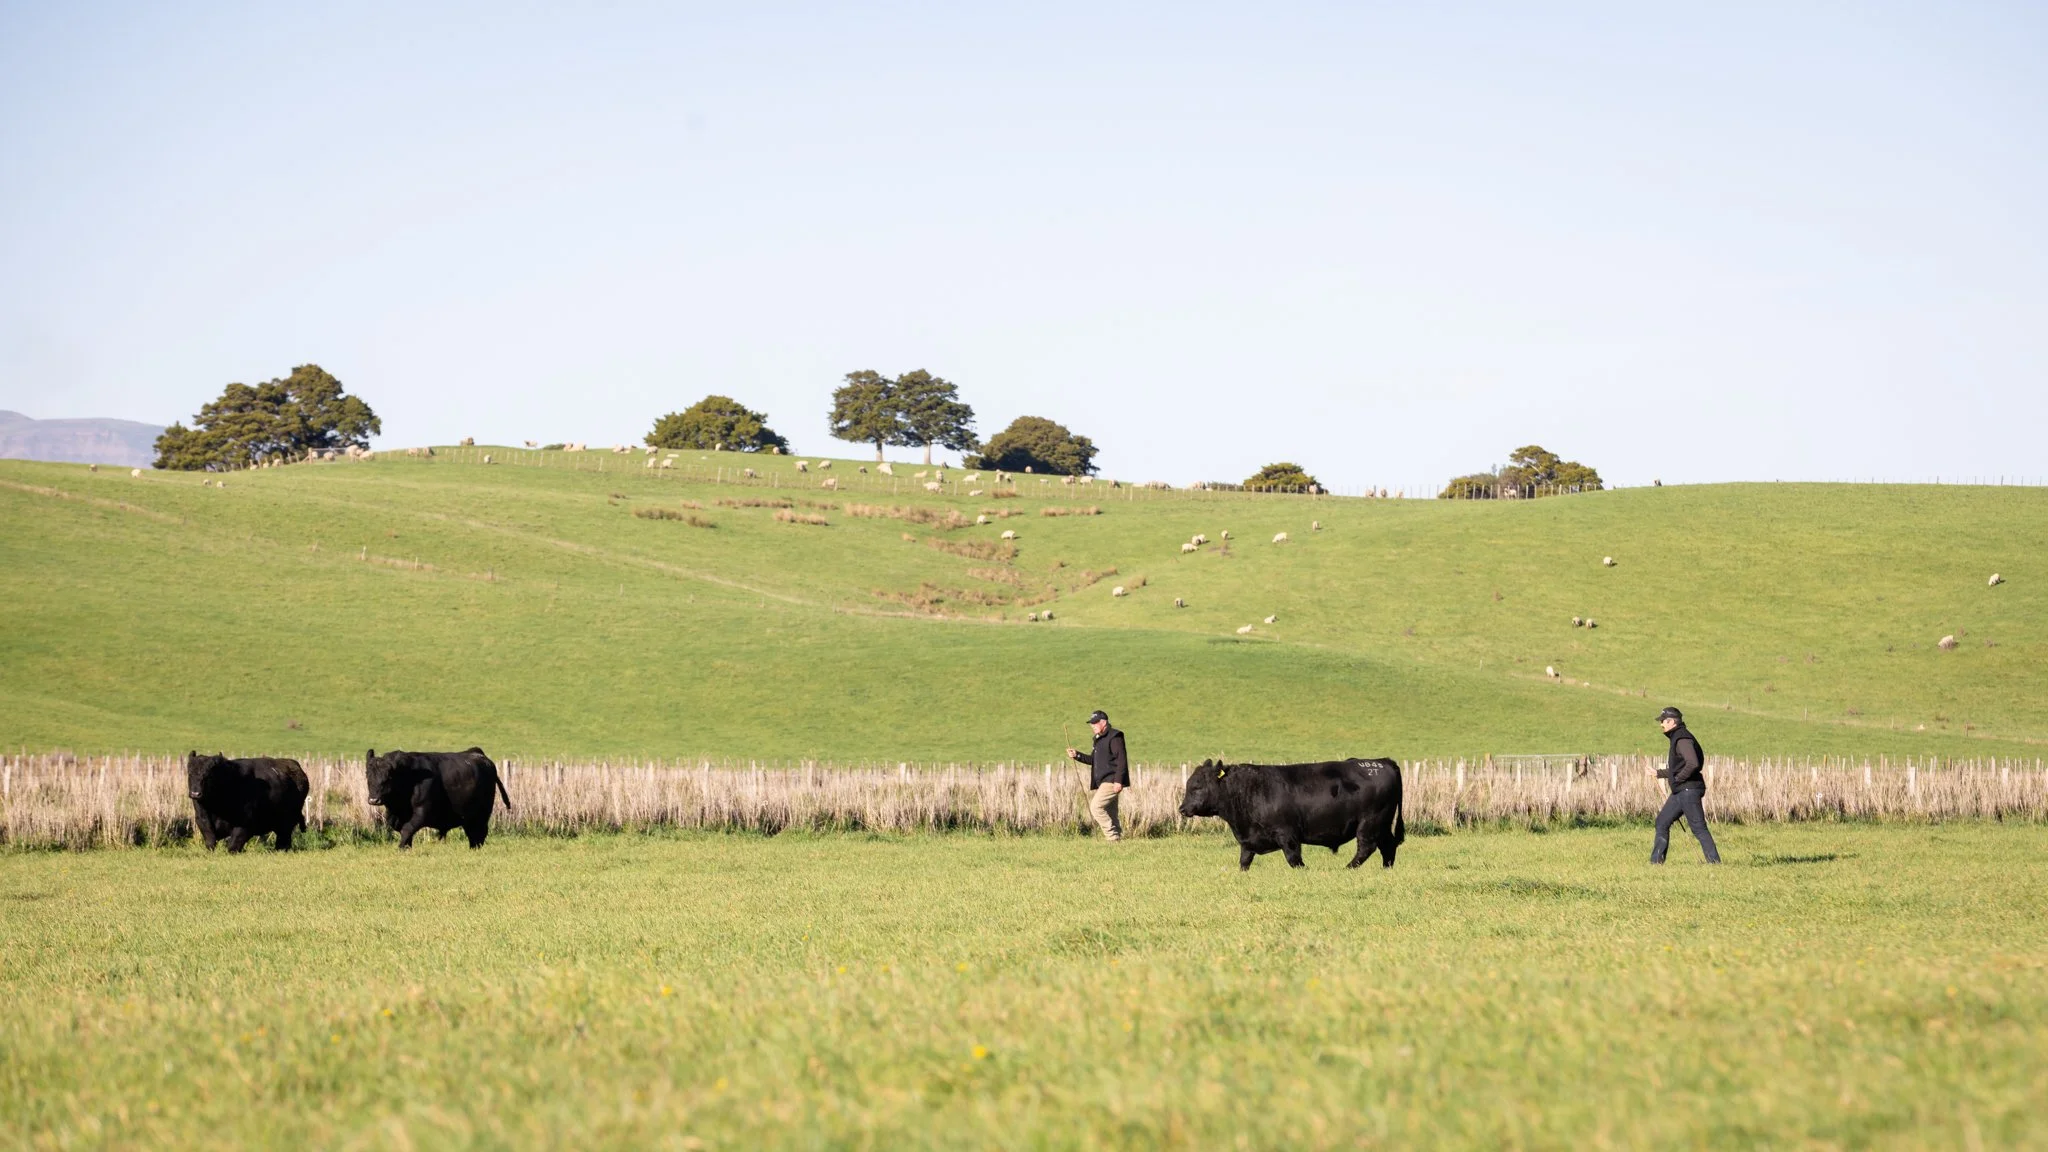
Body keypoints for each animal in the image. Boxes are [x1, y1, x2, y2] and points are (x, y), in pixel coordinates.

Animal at [364, 747, 513, 849]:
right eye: (367, 776)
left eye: (388, 777)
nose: (373, 800)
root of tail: (478, 753)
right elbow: (406, 833)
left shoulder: (422, 811)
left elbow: (407, 829)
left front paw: (401, 848)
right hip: (468, 816)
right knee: (472, 833)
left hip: (482, 813)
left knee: (479, 832)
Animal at [1179, 757, 1404, 871]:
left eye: (1197, 787)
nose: (1182, 809)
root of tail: (1383, 761)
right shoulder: (1248, 840)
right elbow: (1244, 861)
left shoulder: (1287, 834)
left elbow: (1294, 859)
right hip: (1382, 824)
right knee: (1387, 846)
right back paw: (1386, 869)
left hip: (1370, 822)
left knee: (1367, 847)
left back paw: (1347, 868)